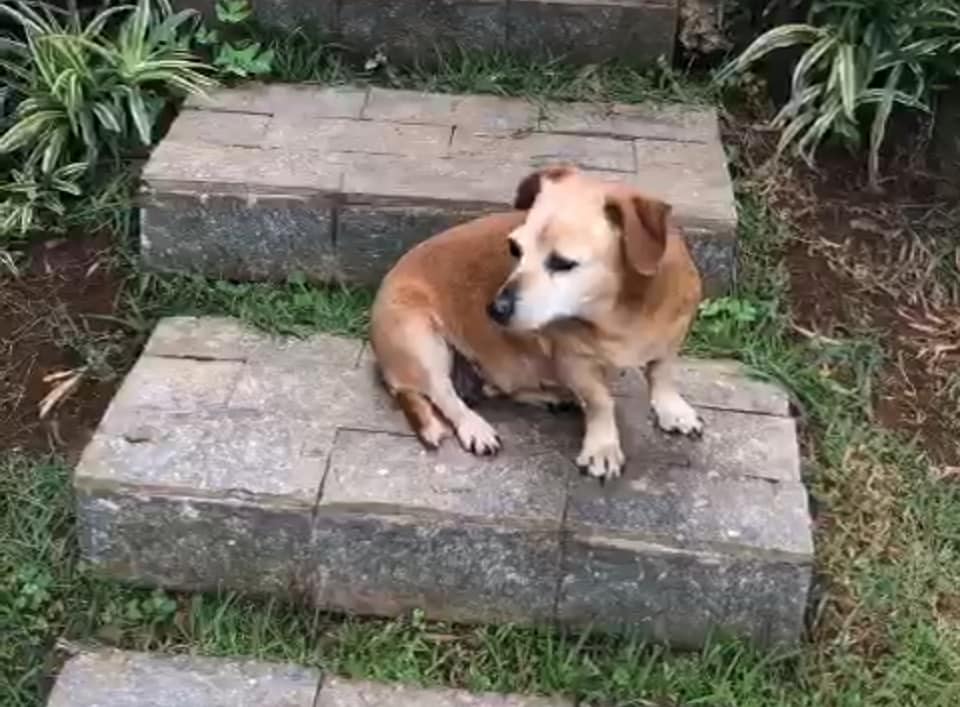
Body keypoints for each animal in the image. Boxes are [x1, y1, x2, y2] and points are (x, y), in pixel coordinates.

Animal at [370, 165, 703, 480]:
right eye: (514, 249)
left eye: (563, 263)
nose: (494, 309)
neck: (621, 313)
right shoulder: (574, 362)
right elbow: (600, 401)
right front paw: (603, 447)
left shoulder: (671, 339)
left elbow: (662, 374)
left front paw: (672, 410)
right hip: (421, 339)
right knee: (443, 394)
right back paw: (475, 426)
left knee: (499, 388)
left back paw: (551, 396)